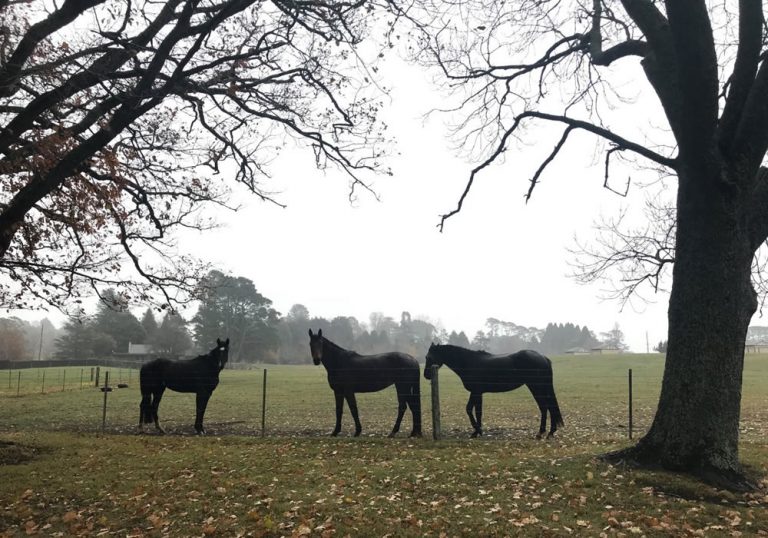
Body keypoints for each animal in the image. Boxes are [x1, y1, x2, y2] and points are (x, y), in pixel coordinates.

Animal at [424, 343, 563, 439]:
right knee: (548, 407)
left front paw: (477, 431)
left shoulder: (476, 392)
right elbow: (474, 410)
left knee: (544, 407)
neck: (469, 362)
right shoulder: (476, 392)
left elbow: (473, 410)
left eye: (429, 357)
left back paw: (542, 433)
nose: (426, 375)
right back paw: (550, 432)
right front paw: (477, 431)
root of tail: (543, 357)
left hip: (536, 386)